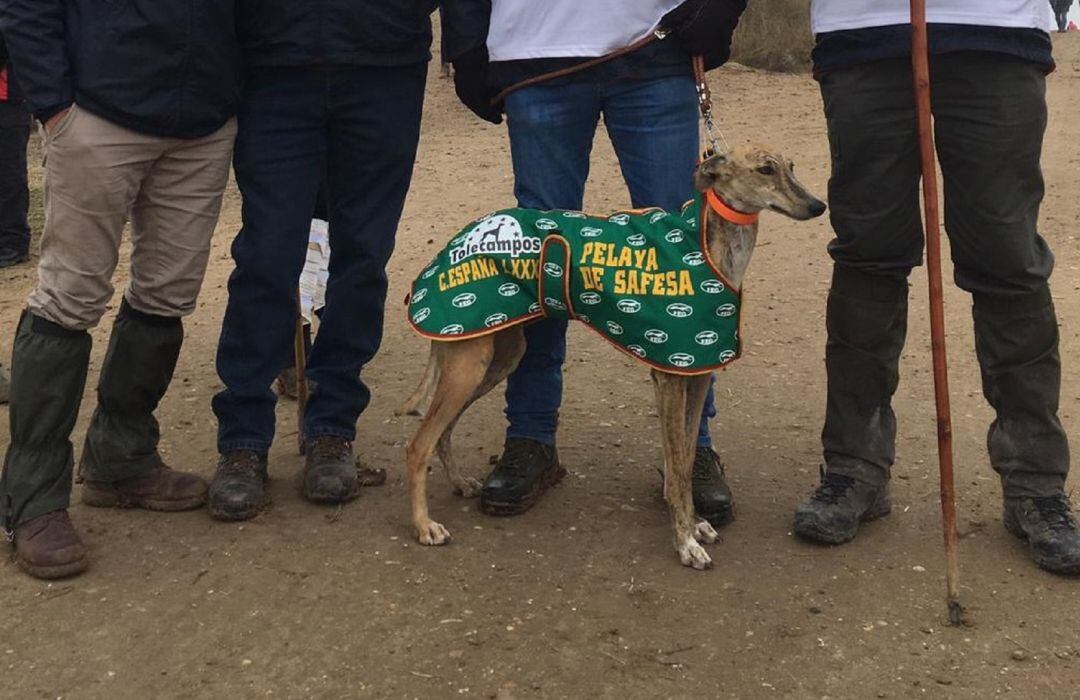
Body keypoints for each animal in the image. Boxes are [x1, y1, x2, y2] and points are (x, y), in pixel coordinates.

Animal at [401, 145, 820, 570]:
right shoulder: (670, 378)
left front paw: (696, 524)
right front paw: (685, 542)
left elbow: (685, 461)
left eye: (791, 167)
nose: (817, 206)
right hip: (468, 365)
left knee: (443, 432)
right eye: (765, 169)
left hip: (498, 355)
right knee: (419, 445)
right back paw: (423, 526)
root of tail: (453, 243)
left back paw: (459, 483)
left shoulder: (697, 375)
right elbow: (677, 472)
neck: (703, 244)